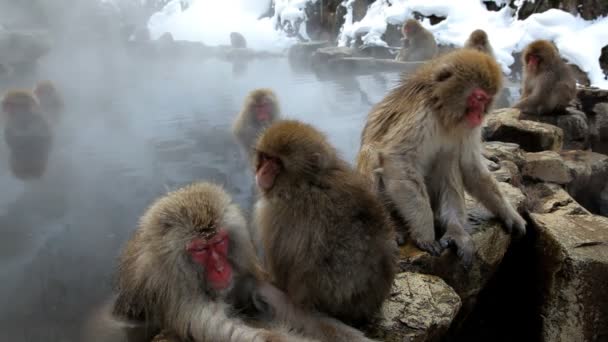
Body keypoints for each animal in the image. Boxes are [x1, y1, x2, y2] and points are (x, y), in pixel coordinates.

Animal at [83, 183, 378, 342]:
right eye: (200, 249)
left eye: (219, 242)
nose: (220, 268)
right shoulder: (181, 299)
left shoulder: (241, 273)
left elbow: (282, 304)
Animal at [358, 48, 524, 268]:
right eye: (478, 98)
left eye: (487, 100)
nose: (480, 115)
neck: (442, 112)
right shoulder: (421, 114)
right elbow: (398, 158)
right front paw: (425, 233)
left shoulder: (468, 128)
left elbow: (471, 167)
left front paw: (510, 215)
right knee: (371, 152)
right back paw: (390, 226)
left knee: (448, 158)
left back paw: (454, 228)